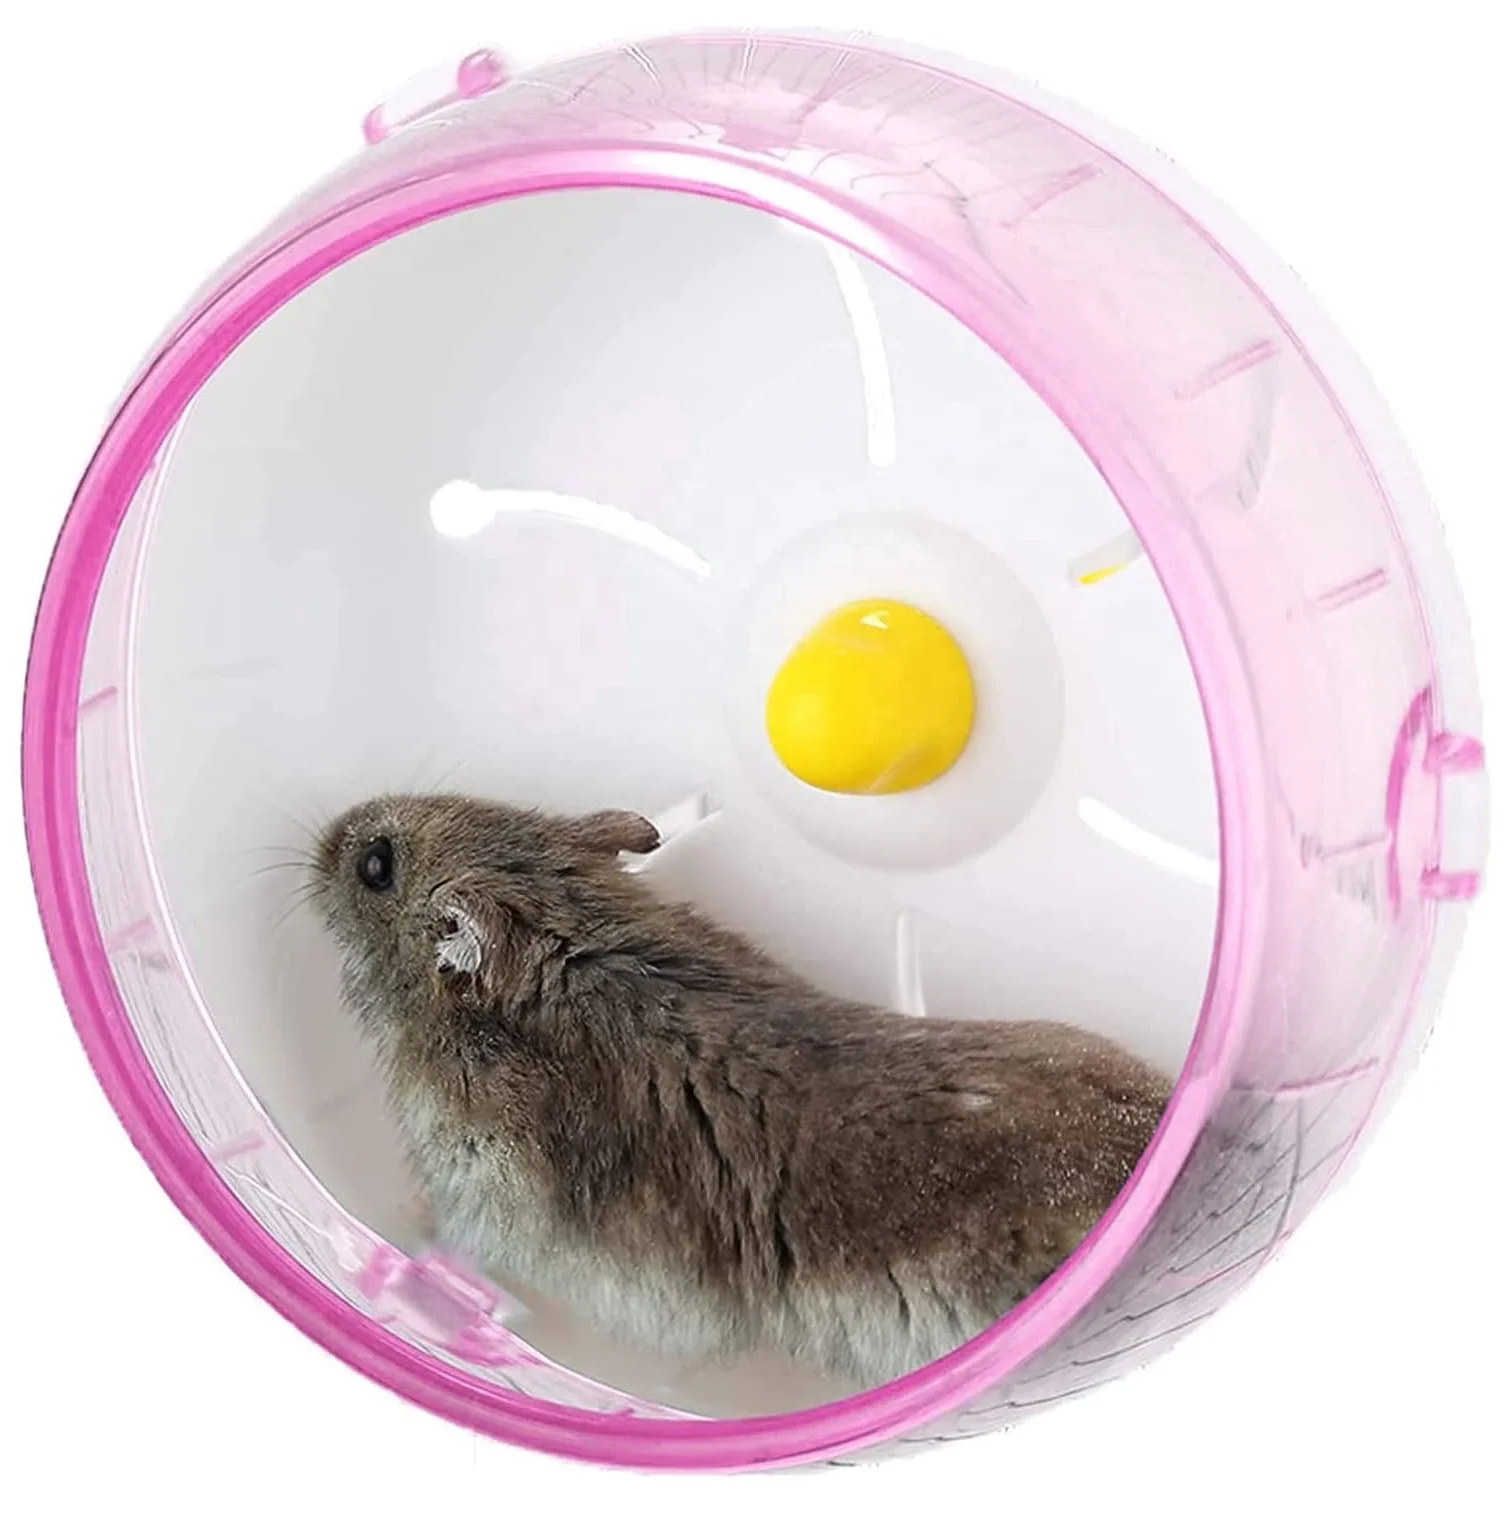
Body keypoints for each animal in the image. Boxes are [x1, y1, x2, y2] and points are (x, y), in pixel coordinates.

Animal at [310, 794, 1172, 1389]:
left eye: (375, 865)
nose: (327, 832)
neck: (568, 942)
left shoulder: (489, 1190)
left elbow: (449, 1235)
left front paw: (396, 1231)